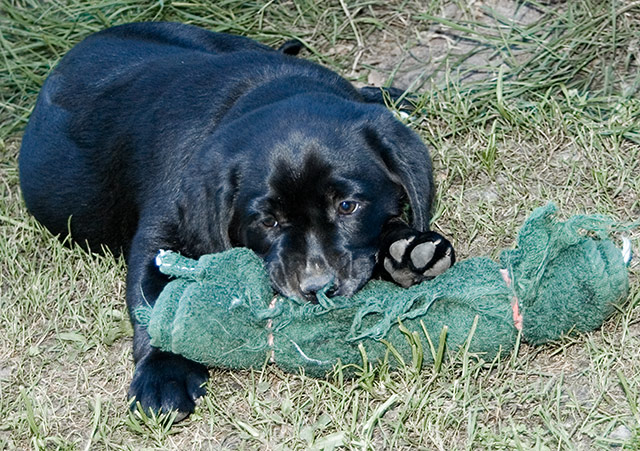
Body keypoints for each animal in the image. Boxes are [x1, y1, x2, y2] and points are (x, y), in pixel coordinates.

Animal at [20, 22, 456, 420]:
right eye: (268, 222)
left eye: (348, 206)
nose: (317, 288)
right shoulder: (159, 236)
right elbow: (156, 303)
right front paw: (164, 373)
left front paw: (408, 248)